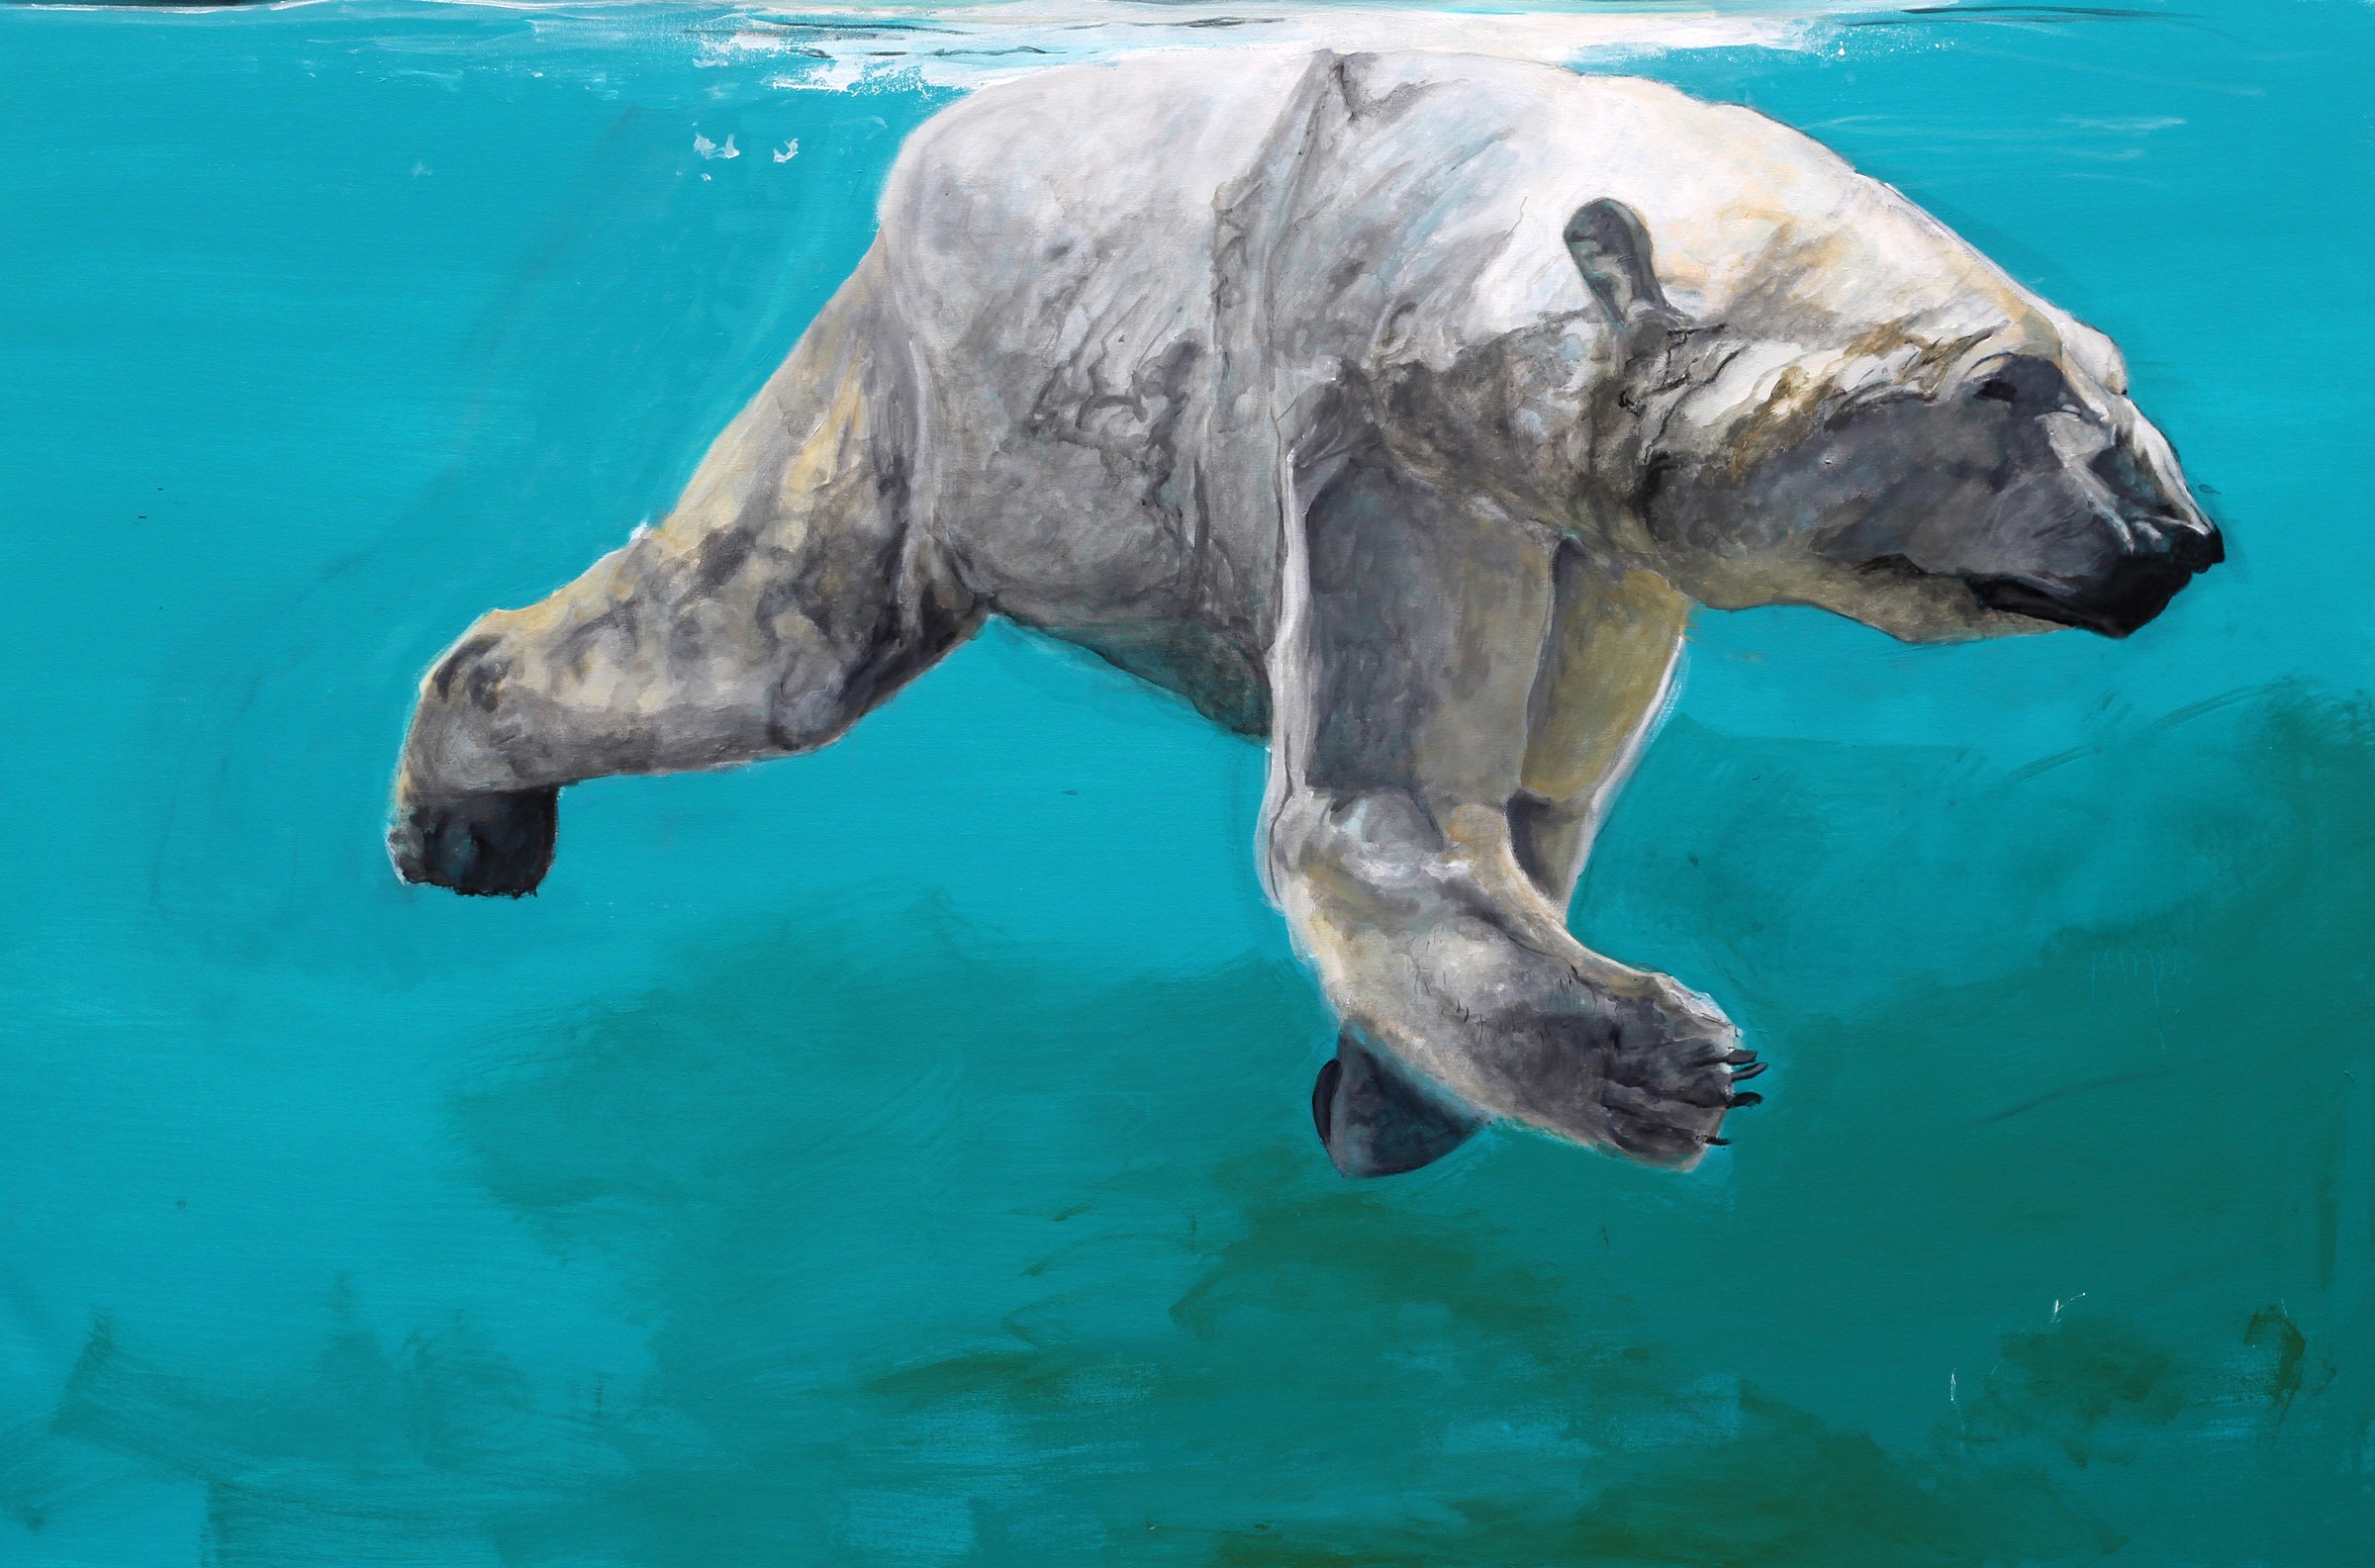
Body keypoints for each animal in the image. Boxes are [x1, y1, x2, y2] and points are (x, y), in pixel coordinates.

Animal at [388, 49, 2220, 1177]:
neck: (1476, 229)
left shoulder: (1597, 546)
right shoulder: (1382, 434)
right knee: (770, 648)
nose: (2180, 537)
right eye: (2003, 384)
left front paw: (1391, 1102)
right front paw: (1662, 1062)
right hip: (940, 391)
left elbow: (1530, 808)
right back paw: (461, 813)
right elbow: (1371, 807)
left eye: (2111, 372)